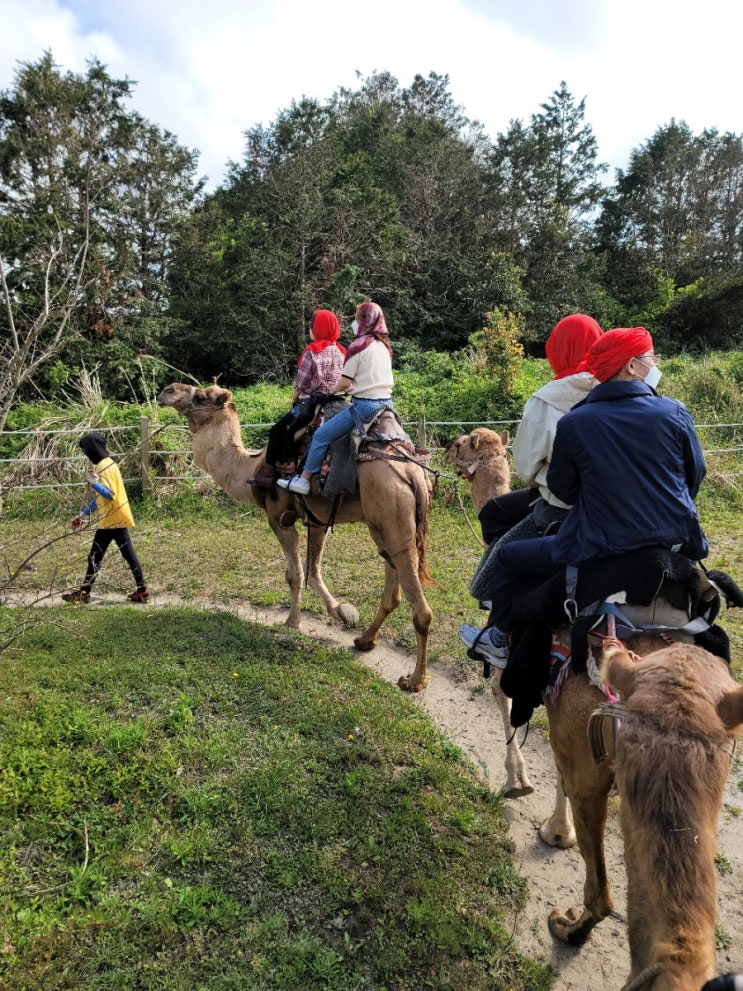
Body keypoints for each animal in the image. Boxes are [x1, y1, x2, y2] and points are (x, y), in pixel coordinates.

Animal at [158, 384, 436, 692]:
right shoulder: (317, 520)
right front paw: (342, 612)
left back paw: (415, 680)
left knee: (420, 608)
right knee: (392, 589)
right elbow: (313, 570)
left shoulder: (278, 517)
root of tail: (413, 475)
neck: (249, 468)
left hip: (391, 512)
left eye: (200, 397)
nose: (166, 391)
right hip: (384, 525)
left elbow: (294, 574)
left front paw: (292, 622)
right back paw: (365, 640)